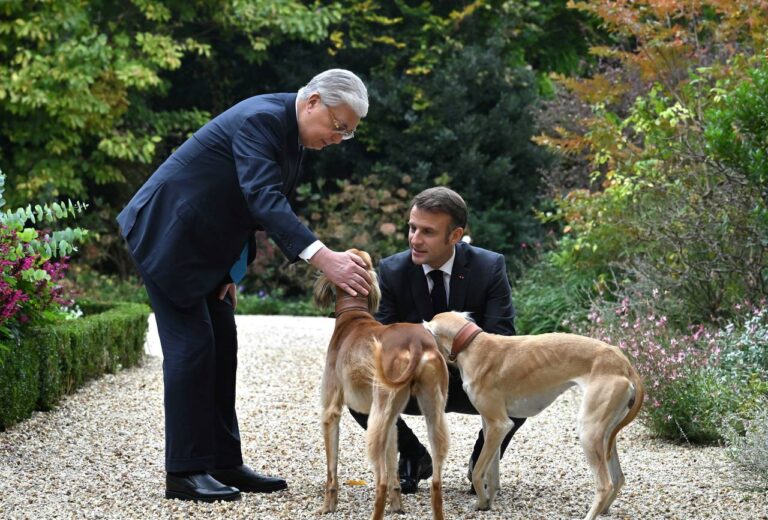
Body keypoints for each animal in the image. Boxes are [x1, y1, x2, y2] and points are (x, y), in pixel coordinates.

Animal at [316, 250, 450, 516]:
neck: (353, 316)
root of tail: (417, 343)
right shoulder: (393, 420)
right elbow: (394, 473)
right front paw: (397, 507)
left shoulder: (331, 412)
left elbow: (332, 471)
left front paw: (328, 506)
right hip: (431, 414)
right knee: (436, 483)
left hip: (376, 416)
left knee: (381, 482)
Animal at [424, 310, 644, 516]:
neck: (474, 346)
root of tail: (625, 364)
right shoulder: (491, 426)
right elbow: (492, 474)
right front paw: (485, 502)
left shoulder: (499, 424)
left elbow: (478, 471)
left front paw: (482, 500)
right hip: (606, 433)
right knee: (619, 478)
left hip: (589, 431)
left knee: (605, 485)